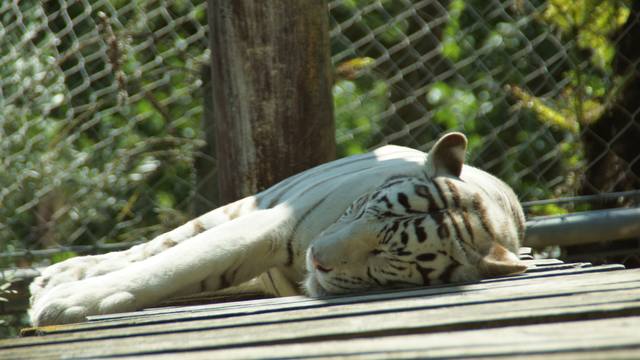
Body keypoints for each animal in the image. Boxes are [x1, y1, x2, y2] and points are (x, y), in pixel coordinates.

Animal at [28, 132, 524, 326]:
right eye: (367, 210)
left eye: (387, 256)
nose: (317, 258)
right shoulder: (267, 224)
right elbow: (171, 263)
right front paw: (65, 300)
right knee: (154, 247)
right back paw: (56, 276)